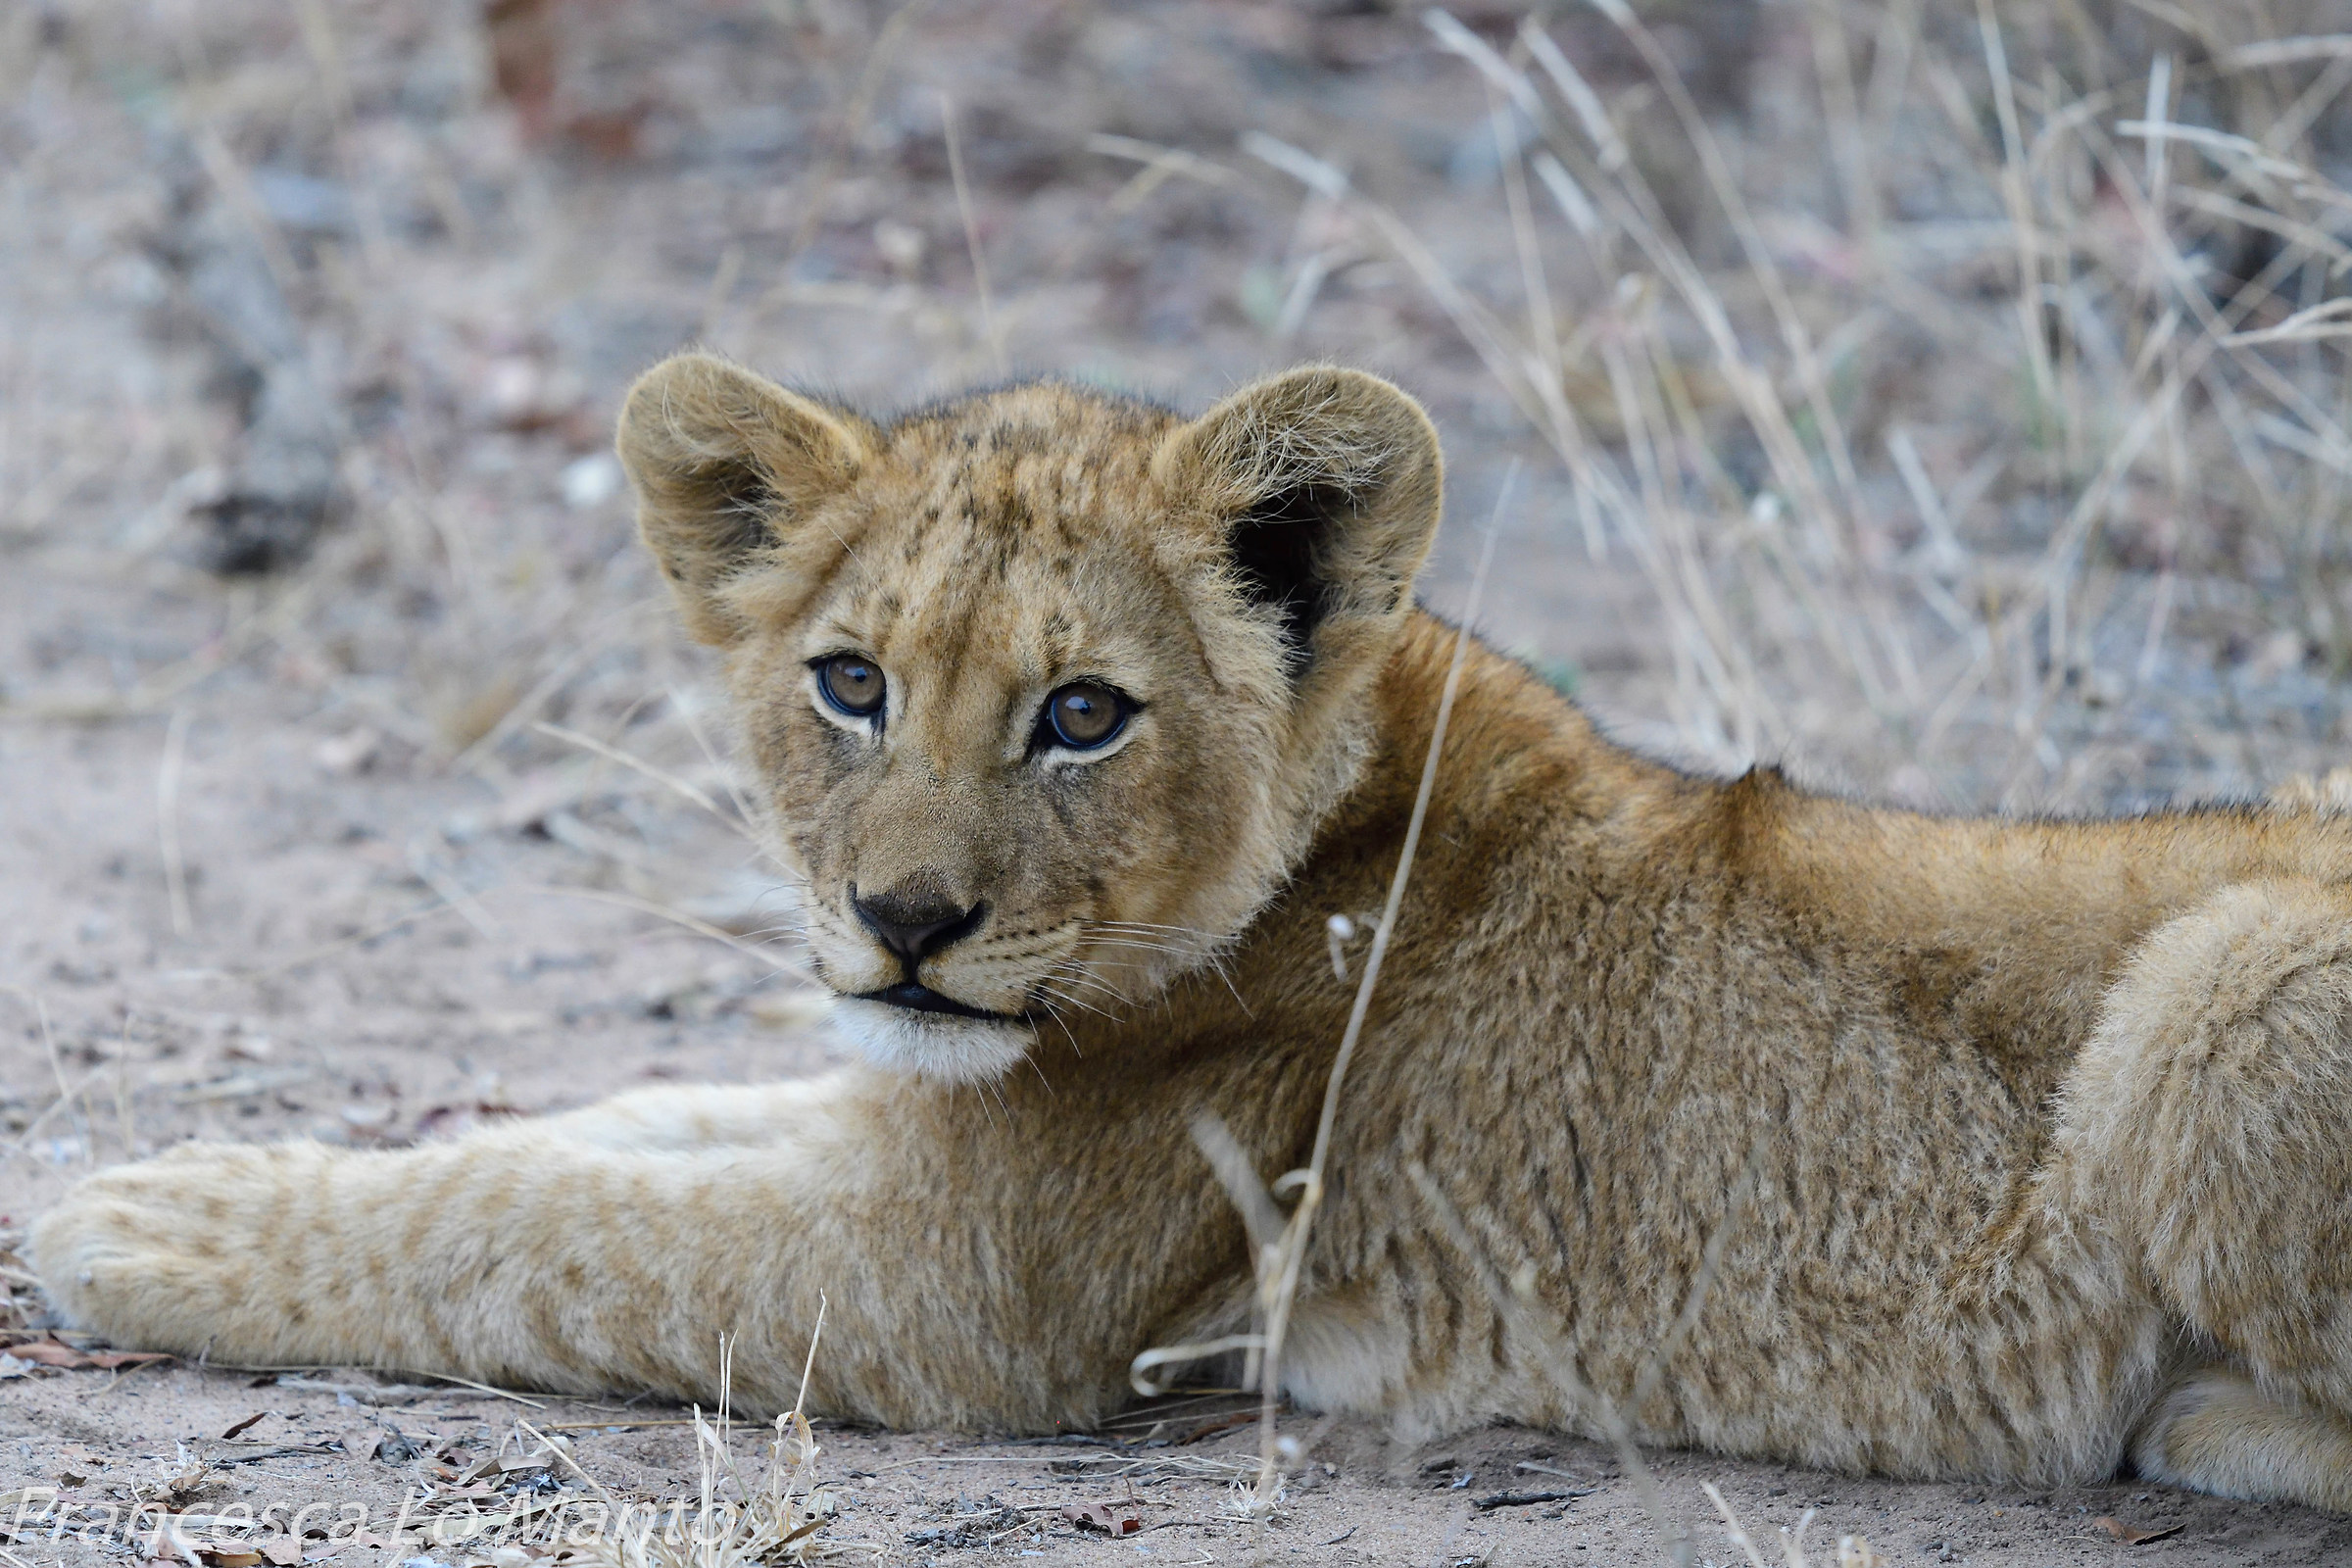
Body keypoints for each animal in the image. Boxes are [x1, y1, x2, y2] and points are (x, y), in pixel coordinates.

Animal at [33, 355, 2352, 1510]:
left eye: (1082, 715)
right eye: (851, 683)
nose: (902, 922)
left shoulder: (958, 1293)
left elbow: (535, 1230)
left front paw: (128, 1214)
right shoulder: (900, 1123)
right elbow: (596, 1134)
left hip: (2224, 991)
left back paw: (2188, 1421)